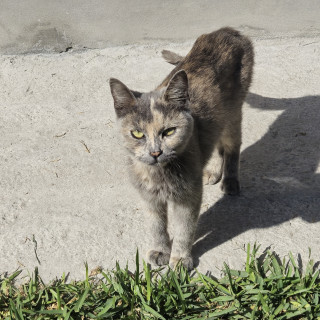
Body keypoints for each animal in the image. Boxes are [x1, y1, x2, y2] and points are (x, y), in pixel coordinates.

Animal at [109, 27, 254, 270]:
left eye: (169, 131)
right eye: (137, 133)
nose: (155, 152)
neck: (159, 175)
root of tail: (227, 30)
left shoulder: (188, 195)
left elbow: (185, 228)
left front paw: (179, 259)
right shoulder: (149, 197)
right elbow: (156, 225)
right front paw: (160, 251)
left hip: (233, 114)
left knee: (231, 146)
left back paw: (230, 181)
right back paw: (213, 171)